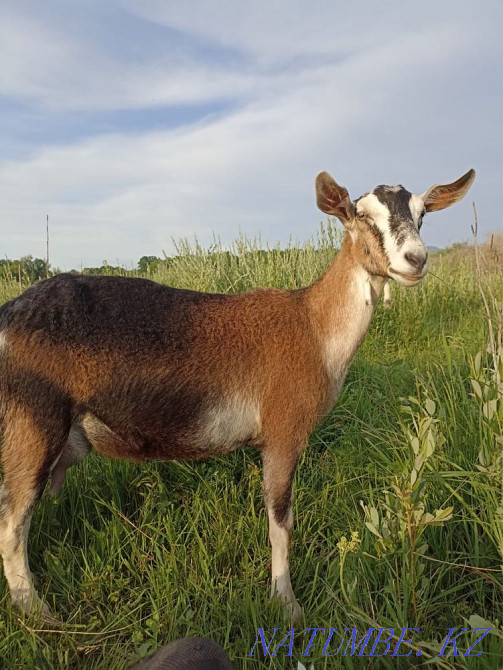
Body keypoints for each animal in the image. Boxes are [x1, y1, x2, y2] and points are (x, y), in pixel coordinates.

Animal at [0, 168, 475, 621]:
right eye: (361, 216)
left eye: (422, 214)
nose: (416, 259)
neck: (312, 327)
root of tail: (8, 316)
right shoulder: (283, 433)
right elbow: (280, 521)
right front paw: (286, 604)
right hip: (33, 424)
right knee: (12, 522)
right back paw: (39, 612)